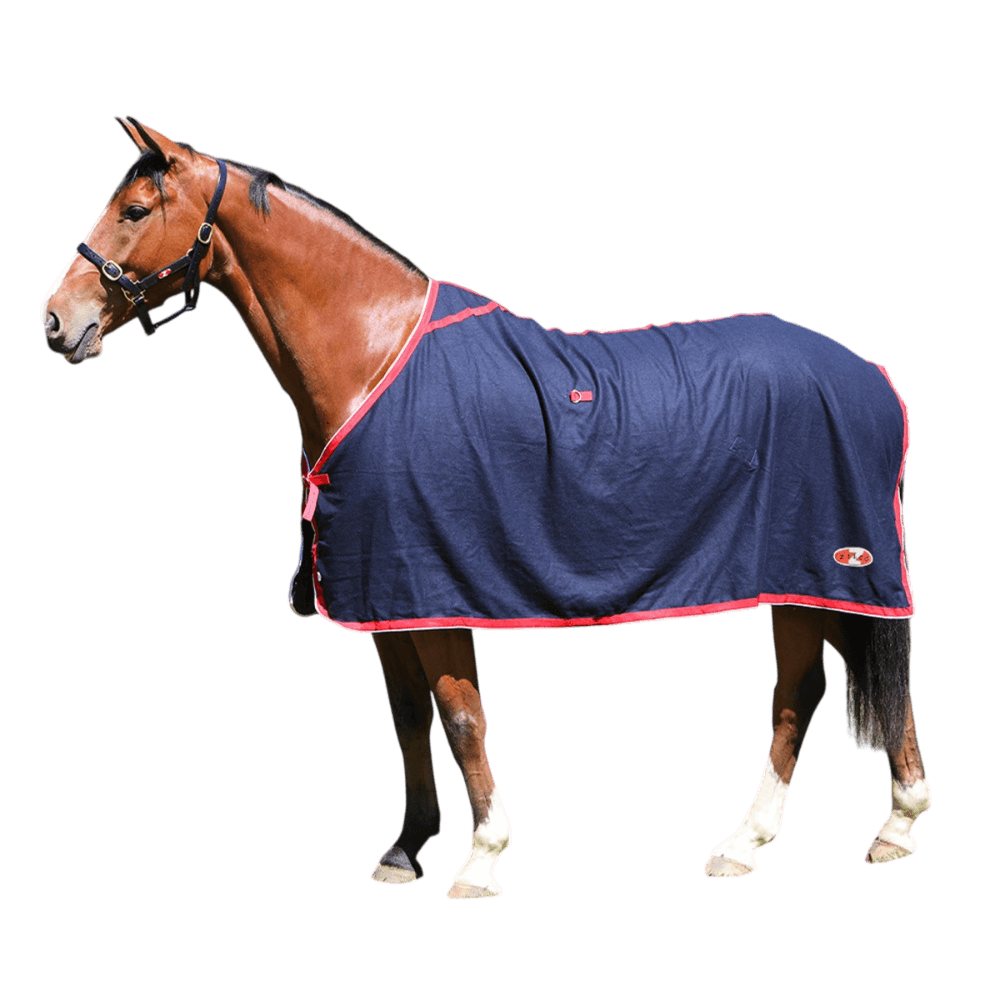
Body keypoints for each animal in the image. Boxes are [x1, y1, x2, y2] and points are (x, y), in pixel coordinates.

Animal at [40, 117, 931, 898]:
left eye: (135, 211)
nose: (54, 320)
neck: (374, 357)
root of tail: (871, 374)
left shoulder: (438, 585)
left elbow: (461, 716)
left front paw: (481, 859)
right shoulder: (384, 592)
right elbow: (407, 716)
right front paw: (406, 848)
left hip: (820, 568)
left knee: (800, 690)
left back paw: (782, 837)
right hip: (810, 577)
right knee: (827, 680)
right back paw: (866, 827)